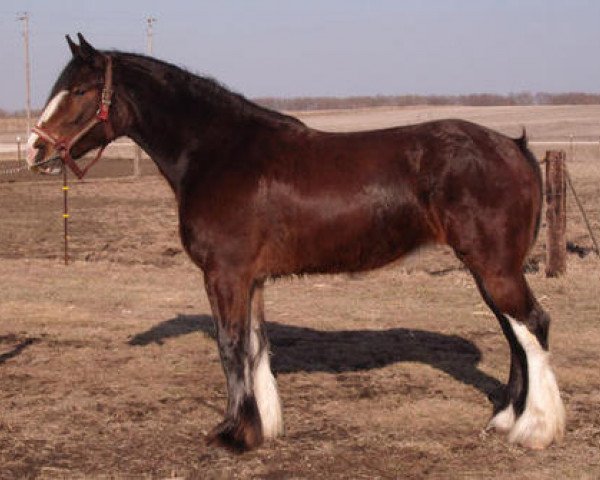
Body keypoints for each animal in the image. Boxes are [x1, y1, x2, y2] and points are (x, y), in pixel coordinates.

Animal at [25, 35, 564, 452]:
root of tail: (513, 147)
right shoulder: (252, 278)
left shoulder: (225, 274)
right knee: (515, 333)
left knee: (532, 325)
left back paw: (535, 429)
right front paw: (263, 426)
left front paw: (233, 434)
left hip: (494, 266)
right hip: (488, 269)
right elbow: (256, 346)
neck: (218, 151)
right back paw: (504, 421)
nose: (34, 150)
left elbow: (230, 346)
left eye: (78, 90)